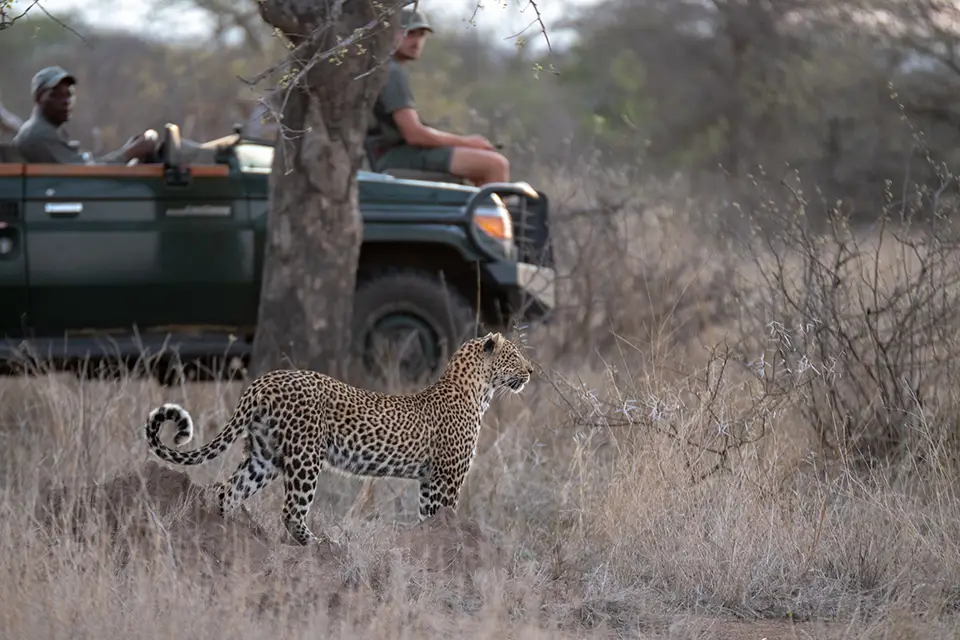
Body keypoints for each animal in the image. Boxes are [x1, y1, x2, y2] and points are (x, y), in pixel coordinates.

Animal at [144, 331, 534, 546]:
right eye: (514, 355)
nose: (531, 370)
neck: (478, 391)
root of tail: (263, 381)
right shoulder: (447, 478)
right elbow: (444, 515)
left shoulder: (429, 481)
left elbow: (428, 520)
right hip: (304, 456)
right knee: (290, 510)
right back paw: (317, 544)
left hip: (264, 457)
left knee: (228, 492)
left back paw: (227, 536)